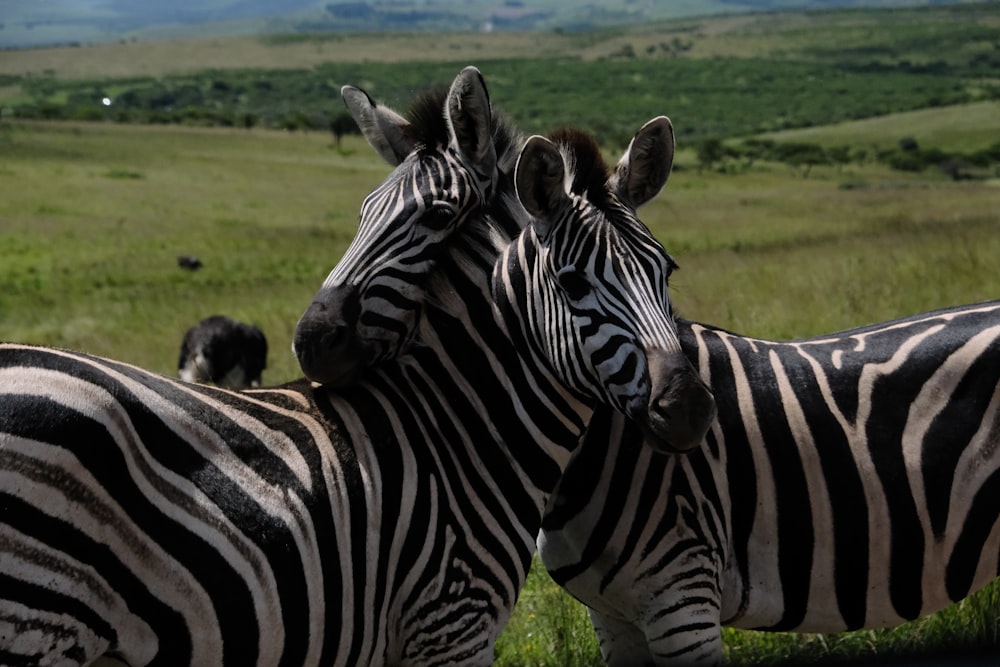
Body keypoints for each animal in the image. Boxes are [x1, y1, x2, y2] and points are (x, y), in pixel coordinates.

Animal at [0, 66, 712, 664]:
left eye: (667, 271)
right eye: (570, 283)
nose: (690, 408)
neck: (456, 424)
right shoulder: (450, 624)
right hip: (37, 621)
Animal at [300, 68, 1000, 664]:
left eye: (437, 215)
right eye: (361, 215)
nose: (310, 341)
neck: (586, 455)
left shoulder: (683, 600)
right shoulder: (613, 616)